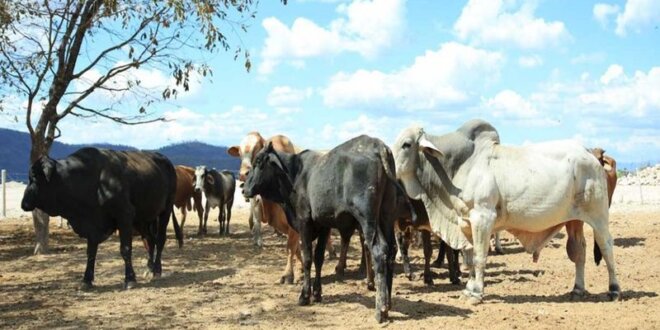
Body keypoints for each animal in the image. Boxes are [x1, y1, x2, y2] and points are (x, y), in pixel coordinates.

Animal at [20, 148, 182, 290]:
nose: (24, 203)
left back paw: (157, 270)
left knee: (159, 240)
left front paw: (129, 279)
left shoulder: (124, 215)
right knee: (149, 240)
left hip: (165, 211)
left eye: (34, 178)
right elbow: (91, 253)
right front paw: (86, 280)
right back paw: (149, 268)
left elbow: (125, 249)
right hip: (144, 219)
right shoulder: (92, 224)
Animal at [229, 132, 336, 284]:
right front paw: (300, 269)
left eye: (258, 148)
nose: (244, 174)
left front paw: (288, 275)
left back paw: (331, 252)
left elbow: (290, 247)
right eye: (239, 152)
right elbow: (296, 248)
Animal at [241, 134, 400, 322]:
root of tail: (378, 146)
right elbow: (318, 258)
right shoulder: (324, 225)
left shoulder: (304, 222)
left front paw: (304, 296)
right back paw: (388, 304)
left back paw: (380, 310)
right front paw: (316, 293)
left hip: (367, 218)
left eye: (258, 162)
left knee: (379, 251)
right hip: (386, 214)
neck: (295, 173)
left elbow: (308, 258)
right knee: (391, 250)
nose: (244, 189)